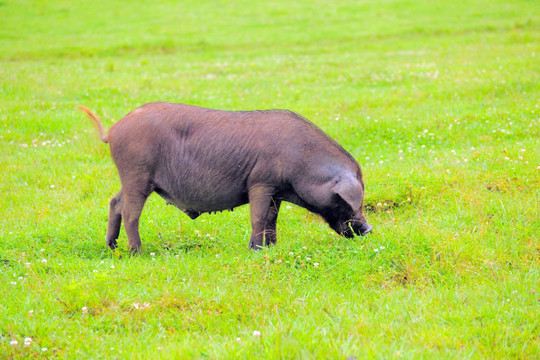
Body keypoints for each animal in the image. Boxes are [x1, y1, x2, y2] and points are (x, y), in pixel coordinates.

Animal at [77, 102, 372, 252]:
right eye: (346, 199)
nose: (369, 228)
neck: (302, 161)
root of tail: (113, 130)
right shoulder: (260, 183)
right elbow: (258, 217)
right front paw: (256, 250)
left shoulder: (276, 192)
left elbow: (272, 220)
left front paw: (272, 248)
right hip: (137, 174)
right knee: (130, 212)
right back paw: (137, 252)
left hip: (131, 179)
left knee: (114, 202)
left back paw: (112, 246)